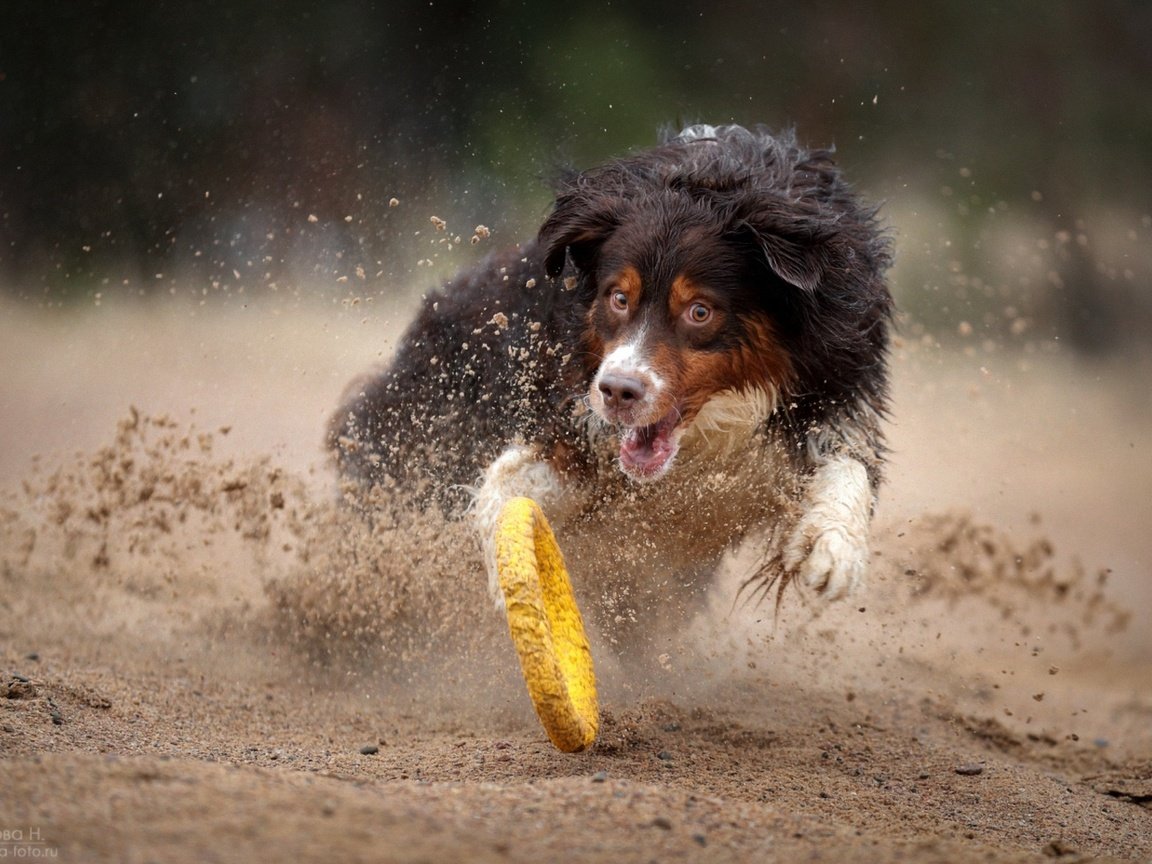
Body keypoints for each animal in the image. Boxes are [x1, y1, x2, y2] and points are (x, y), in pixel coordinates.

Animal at [329, 124, 893, 645]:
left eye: (700, 311)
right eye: (618, 298)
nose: (618, 391)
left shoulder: (831, 394)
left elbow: (846, 464)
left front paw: (833, 549)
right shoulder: (576, 422)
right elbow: (510, 484)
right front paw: (511, 571)